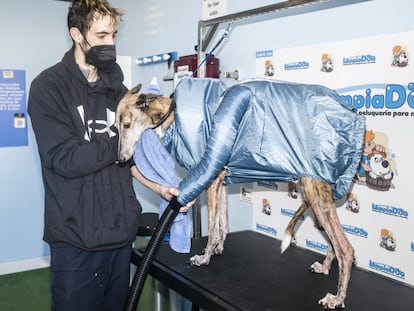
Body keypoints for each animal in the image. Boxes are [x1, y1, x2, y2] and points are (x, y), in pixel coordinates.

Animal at [116, 80, 362, 310]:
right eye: (116, 127)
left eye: (126, 124)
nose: (120, 161)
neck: (173, 114)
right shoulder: (221, 181)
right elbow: (223, 223)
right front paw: (217, 249)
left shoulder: (211, 179)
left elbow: (213, 227)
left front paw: (204, 257)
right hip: (316, 196)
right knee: (334, 243)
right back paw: (325, 267)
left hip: (315, 192)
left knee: (346, 249)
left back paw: (338, 298)